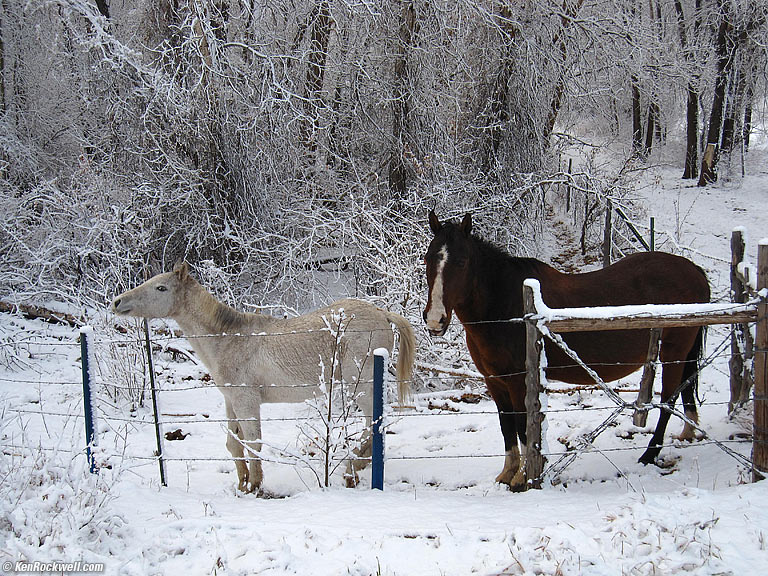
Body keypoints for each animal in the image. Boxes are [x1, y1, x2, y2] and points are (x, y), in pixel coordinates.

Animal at [112, 262, 415, 493]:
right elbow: (234, 444)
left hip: (360, 385)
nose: (117, 302)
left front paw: (255, 485)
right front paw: (242, 482)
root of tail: (383, 313)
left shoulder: (247, 402)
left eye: (161, 288)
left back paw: (353, 466)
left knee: (374, 424)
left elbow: (253, 443)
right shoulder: (231, 401)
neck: (229, 339)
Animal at [422, 211, 710, 491]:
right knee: (685, 388)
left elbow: (523, 426)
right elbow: (506, 426)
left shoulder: (518, 381)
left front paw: (523, 478)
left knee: (668, 400)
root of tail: (693, 270)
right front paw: (507, 474)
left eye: (462, 262)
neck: (506, 305)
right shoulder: (495, 381)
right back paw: (687, 433)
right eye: (428, 259)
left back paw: (650, 454)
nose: (435, 320)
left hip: (673, 354)